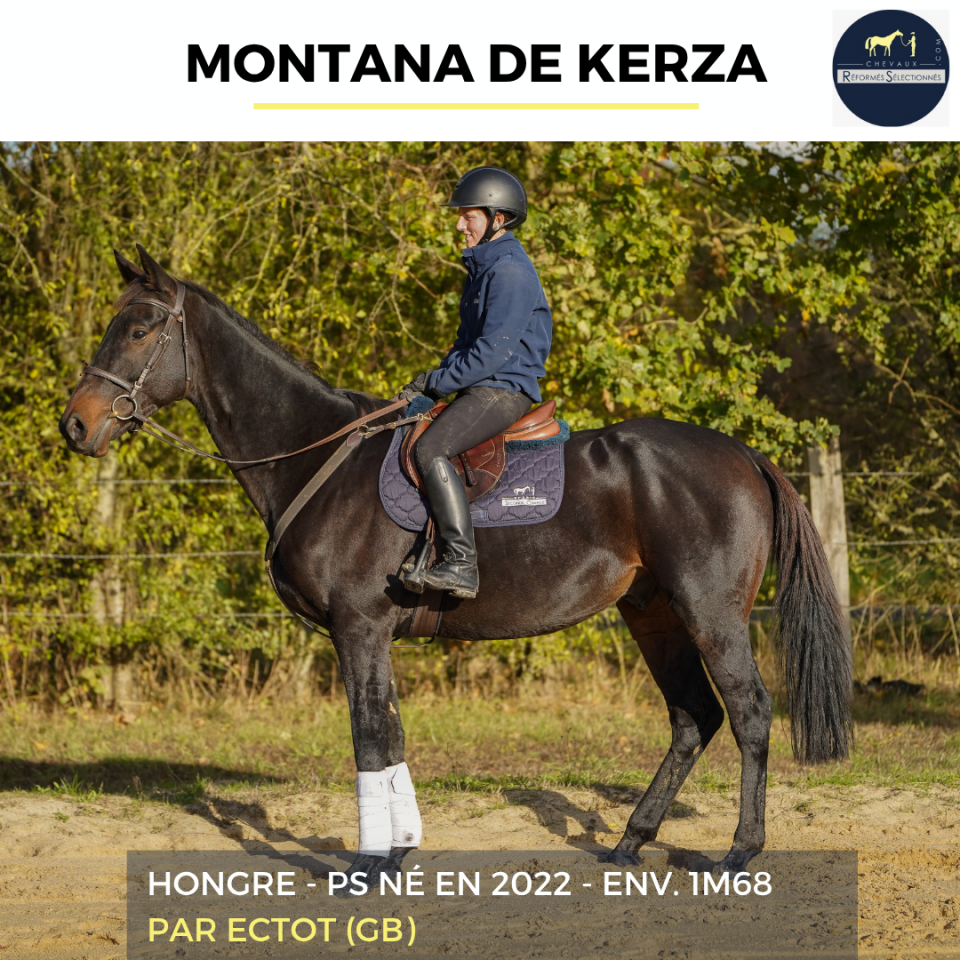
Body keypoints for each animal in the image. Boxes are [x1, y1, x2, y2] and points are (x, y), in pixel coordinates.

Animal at [60, 246, 851, 879]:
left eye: (139, 329)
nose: (75, 424)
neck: (314, 456)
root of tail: (742, 453)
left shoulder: (359, 627)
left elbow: (368, 737)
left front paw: (370, 864)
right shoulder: (371, 634)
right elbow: (391, 733)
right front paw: (400, 849)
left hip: (710, 611)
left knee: (749, 712)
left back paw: (740, 850)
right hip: (653, 612)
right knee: (693, 718)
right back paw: (632, 840)